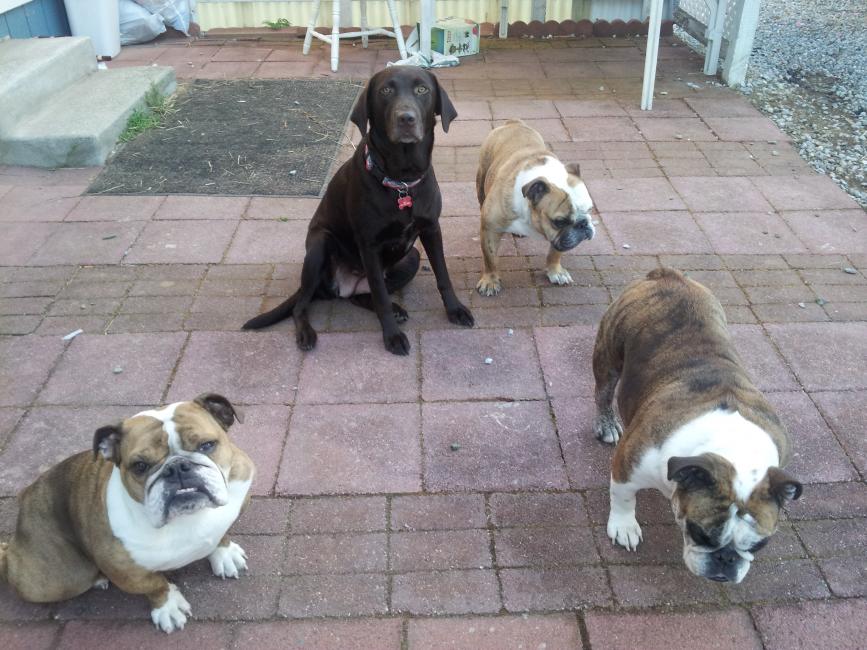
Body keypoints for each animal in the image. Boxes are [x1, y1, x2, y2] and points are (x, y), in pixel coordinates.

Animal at [0, 394, 254, 633]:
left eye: (207, 445)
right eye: (140, 466)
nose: (177, 467)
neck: (188, 517)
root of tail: (26, 495)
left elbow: (222, 533)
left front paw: (224, 552)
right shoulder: (126, 572)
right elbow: (155, 585)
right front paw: (168, 606)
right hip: (56, 581)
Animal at [243, 67, 473, 355]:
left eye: (422, 90)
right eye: (386, 90)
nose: (406, 118)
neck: (402, 181)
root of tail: (343, 288)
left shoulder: (431, 230)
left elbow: (443, 275)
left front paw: (455, 310)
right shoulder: (369, 245)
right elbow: (380, 296)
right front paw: (392, 337)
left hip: (412, 257)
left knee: (363, 296)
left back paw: (394, 308)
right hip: (319, 246)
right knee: (304, 304)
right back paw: (307, 333)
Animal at [475, 119, 595, 296]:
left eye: (590, 210)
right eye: (559, 221)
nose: (583, 223)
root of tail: (513, 122)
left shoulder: (562, 238)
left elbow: (555, 252)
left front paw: (555, 271)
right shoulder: (490, 229)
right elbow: (490, 259)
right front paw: (490, 281)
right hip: (482, 176)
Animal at [592, 268, 802, 583]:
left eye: (759, 545)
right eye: (699, 533)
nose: (726, 559)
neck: (733, 445)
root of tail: (667, 275)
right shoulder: (628, 467)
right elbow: (623, 498)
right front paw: (624, 527)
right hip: (609, 355)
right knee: (603, 391)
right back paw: (606, 423)